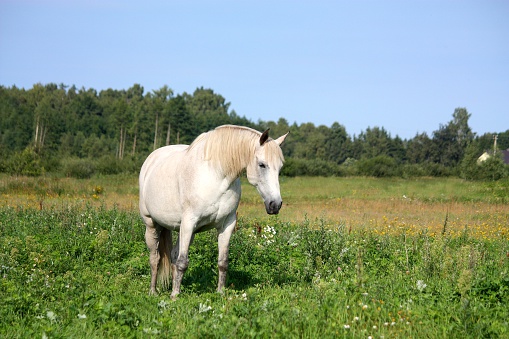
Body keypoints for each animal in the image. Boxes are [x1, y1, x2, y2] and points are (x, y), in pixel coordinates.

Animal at [139, 125, 288, 300]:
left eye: (280, 168)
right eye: (262, 165)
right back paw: (153, 292)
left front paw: (220, 292)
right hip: (152, 224)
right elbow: (183, 262)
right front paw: (175, 296)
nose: (275, 205)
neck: (217, 177)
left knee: (173, 255)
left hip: (185, 230)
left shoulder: (227, 224)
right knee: (155, 258)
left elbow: (222, 262)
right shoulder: (188, 222)